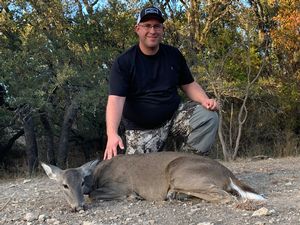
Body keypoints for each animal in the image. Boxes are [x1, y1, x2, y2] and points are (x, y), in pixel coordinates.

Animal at [41, 151, 266, 211]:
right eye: (64, 185)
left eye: (81, 183)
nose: (77, 207)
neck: (97, 176)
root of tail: (227, 172)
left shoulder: (121, 185)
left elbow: (94, 195)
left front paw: (134, 197)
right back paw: (176, 195)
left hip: (180, 172)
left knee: (228, 196)